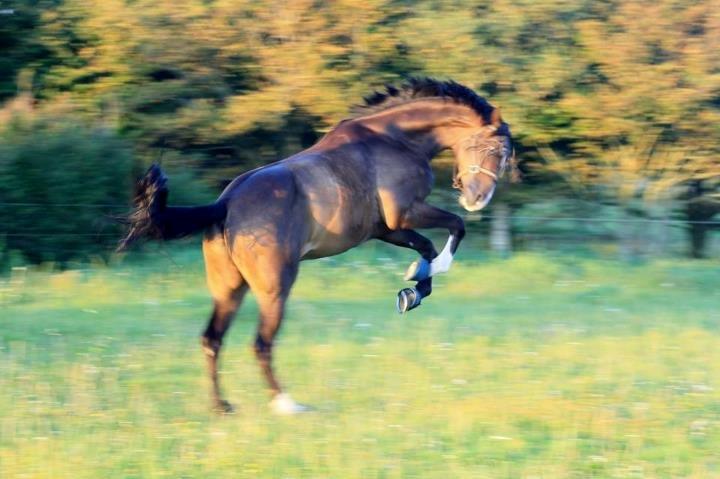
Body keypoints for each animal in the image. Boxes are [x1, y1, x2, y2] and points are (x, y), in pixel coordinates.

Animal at [118, 77, 516, 414]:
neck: (395, 140)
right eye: (494, 147)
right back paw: (286, 404)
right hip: (275, 287)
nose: (478, 198)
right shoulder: (403, 213)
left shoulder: (384, 229)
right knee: (261, 343)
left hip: (229, 289)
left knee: (211, 339)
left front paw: (412, 291)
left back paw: (222, 406)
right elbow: (454, 227)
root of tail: (225, 204)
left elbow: (427, 248)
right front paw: (423, 280)